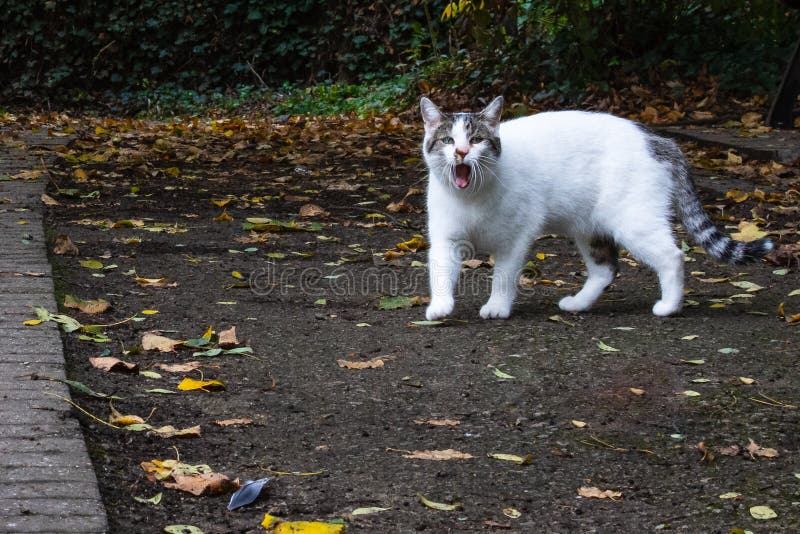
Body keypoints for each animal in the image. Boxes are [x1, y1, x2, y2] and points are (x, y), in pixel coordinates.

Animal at [422, 97, 772, 320]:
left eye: (477, 139)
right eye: (448, 141)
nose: (462, 152)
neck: (472, 196)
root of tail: (661, 141)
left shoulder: (515, 238)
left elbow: (504, 276)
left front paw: (497, 307)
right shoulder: (445, 238)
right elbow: (440, 271)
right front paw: (440, 306)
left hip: (633, 221)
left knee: (672, 256)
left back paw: (669, 307)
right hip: (589, 226)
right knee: (605, 269)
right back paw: (578, 304)